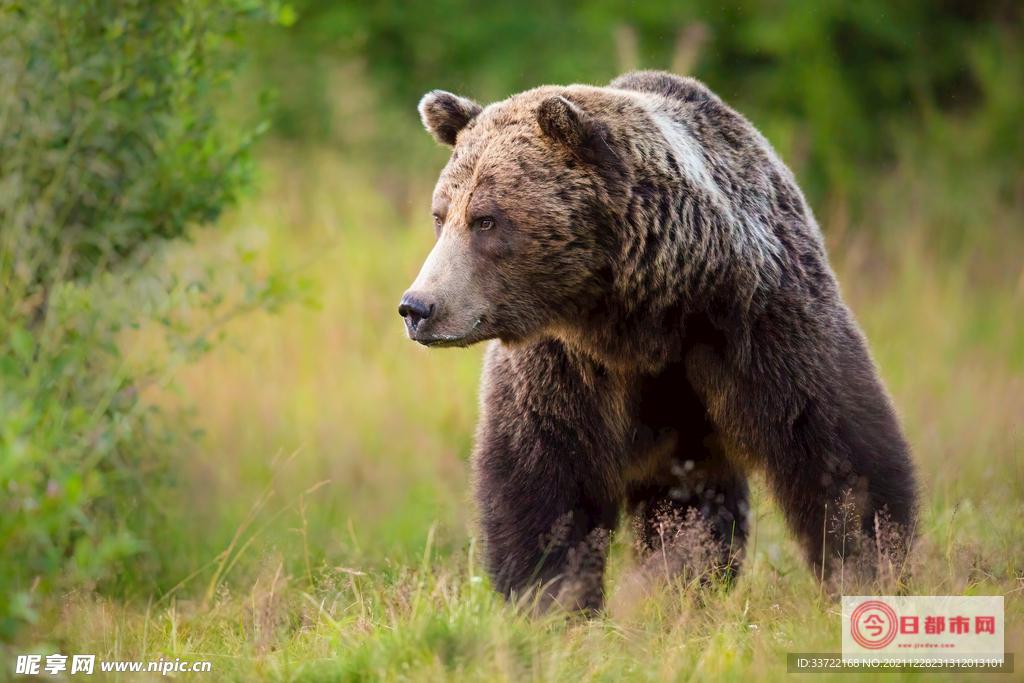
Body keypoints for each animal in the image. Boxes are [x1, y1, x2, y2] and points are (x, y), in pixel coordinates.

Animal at [395, 72, 917, 610]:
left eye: (486, 219)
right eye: (440, 215)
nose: (418, 306)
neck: (644, 315)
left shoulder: (760, 321)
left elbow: (833, 448)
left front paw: (868, 562)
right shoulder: (566, 360)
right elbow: (543, 473)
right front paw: (550, 594)